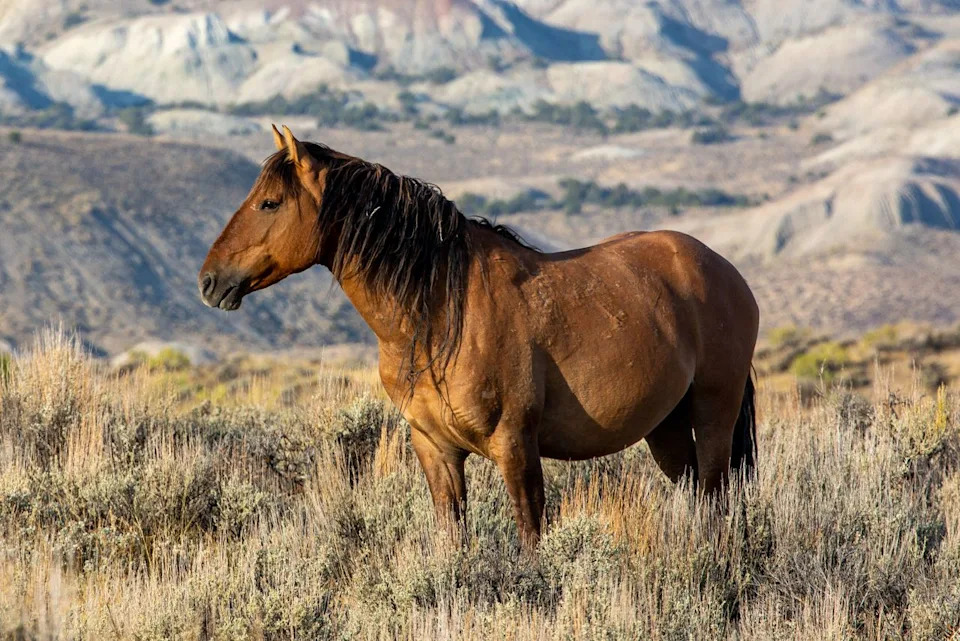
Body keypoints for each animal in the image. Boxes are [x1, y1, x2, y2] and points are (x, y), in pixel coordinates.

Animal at [198, 125, 760, 546]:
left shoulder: (516, 447)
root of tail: (724, 270)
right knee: (696, 493)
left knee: (715, 495)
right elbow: (453, 538)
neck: (441, 314)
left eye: (270, 203)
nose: (208, 281)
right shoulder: (435, 450)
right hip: (665, 427)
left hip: (713, 414)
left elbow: (531, 535)